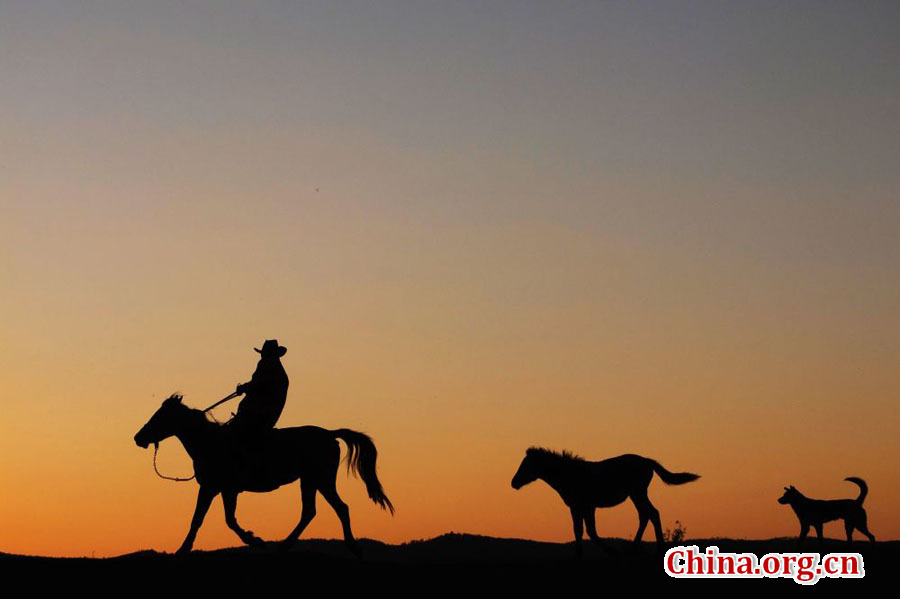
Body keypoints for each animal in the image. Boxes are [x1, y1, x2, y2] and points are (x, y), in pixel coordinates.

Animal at [132, 394, 392, 556]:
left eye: (160, 416)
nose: (138, 437)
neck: (210, 442)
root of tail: (329, 434)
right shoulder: (222, 489)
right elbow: (225, 519)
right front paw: (253, 539)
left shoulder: (213, 488)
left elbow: (203, 519)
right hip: (310, 481)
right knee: (312, 511)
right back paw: (285, 546)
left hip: (320, 479)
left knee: (338, 508)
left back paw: (350, 547)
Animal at [510, 448, 700, 556]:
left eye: (526, 465)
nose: (514, 483)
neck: (568, 474)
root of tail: (647, 461)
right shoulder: (576, 507)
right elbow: (579, 530)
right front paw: (579, 555)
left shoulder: (586, 506)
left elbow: (590, 531)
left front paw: (609, 551)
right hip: (636, 494)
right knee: (646, 514)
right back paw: (636, 548)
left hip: (637, 492)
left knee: (651, 513)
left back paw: (654, 548)